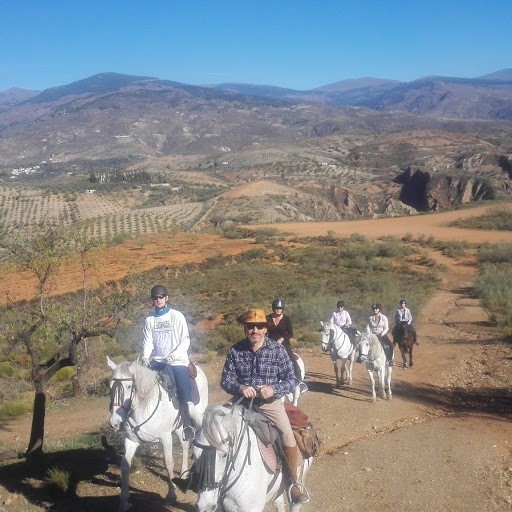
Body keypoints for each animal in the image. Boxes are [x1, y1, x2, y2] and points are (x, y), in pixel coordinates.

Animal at [107, 356, 209, 512]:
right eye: (110, 386)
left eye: (129, 387)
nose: (115, 422)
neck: (144, 407)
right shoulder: (130, 440)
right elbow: (125, 466)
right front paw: (124, 502)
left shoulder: (165, 437)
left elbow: (168, 464)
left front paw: (171, 496)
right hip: (180, 426)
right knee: (185, 444)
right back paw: (185, 472)